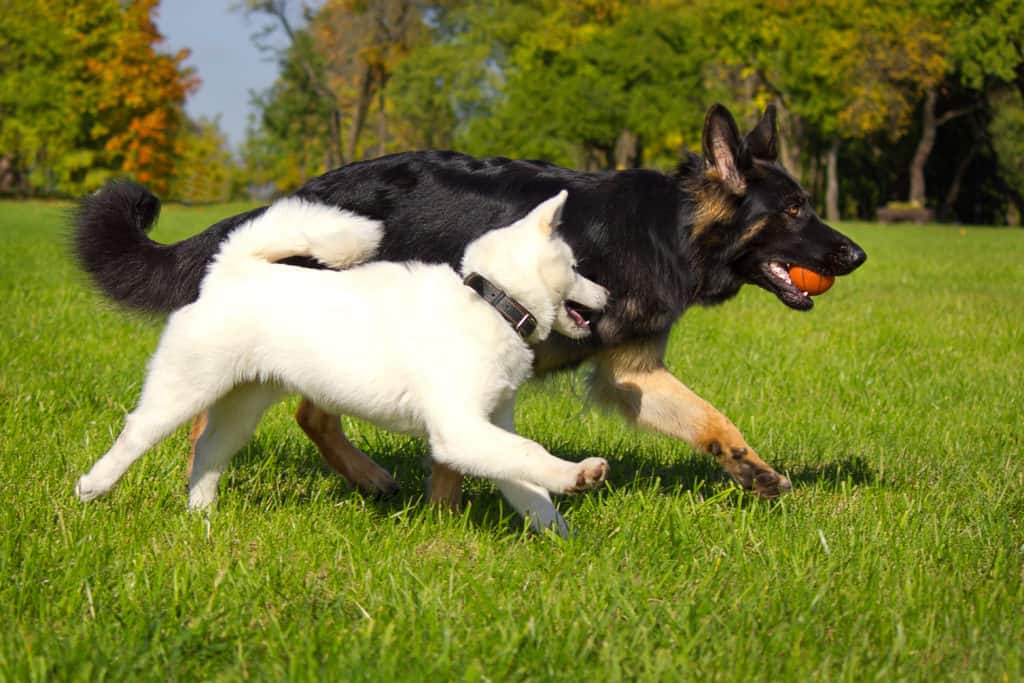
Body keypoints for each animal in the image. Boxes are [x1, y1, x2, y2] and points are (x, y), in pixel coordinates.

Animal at [79, 191, 610, 532]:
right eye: (576, 266)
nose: (607, 295)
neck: (491, 302)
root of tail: (231, 269)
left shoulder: (487, 427)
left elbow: (525, 481)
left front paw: (559, 531)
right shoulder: (459, 430)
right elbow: (531, 455)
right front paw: (577, 475)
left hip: (242, 407)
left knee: (209, 451)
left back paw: (202, 515)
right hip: (183, 389)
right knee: (135, 435)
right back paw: (93, 487)